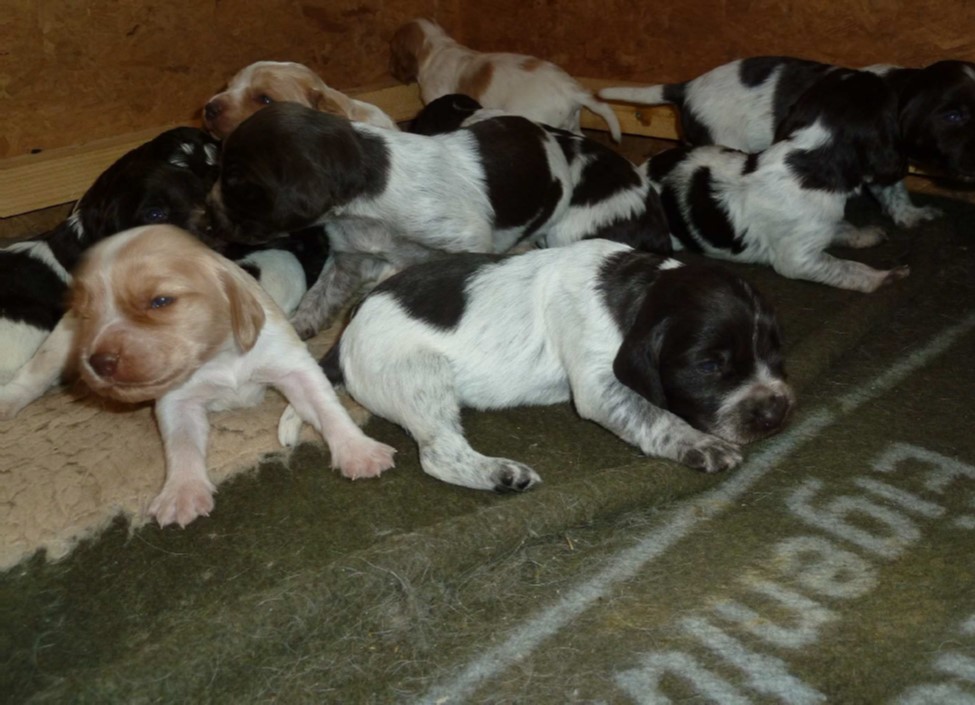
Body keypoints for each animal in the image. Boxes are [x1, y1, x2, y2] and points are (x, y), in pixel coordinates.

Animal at [70, 225, 396, 527]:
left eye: (160, 301)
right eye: (85, 313)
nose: (99, 362)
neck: (219, 356)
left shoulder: (294, 366)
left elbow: (328, 408)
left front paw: (359, 451)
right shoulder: (177, 401)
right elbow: (182, 443)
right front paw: (182, 492)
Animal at [208, 102, 670, 339]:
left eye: (236, 182)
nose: (210, 220)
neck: (367, 202)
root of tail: (543, 132)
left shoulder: (464, 242)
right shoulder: (348, 257)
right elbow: (319, 297)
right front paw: (300, 326)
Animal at [298, 239, 793, 491]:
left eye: (774, 352)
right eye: (708, 366)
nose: (775, 412)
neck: (638, 287)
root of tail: (345, 336)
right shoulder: (600, 385)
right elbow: (655, 415)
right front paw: (701, 444)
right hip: (421, 374)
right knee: (440, 454)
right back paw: (502, 474)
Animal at [646, 70, 910, 292]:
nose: (876, 73)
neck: (814, 155)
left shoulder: (820, 223)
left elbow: (842, 227)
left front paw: (866, 234)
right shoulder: (798, 260)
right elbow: (848, 268)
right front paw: (883, 277)